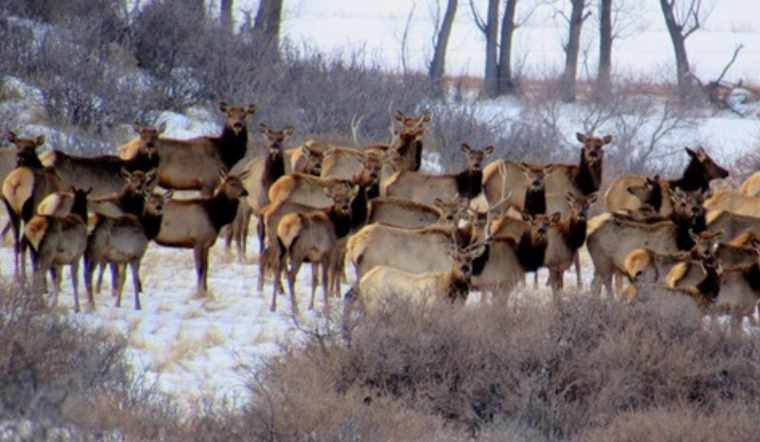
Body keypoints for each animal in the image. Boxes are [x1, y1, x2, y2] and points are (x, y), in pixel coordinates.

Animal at [3, 132, 63, 278]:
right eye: (17, 144)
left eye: (30, 147)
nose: (20, 155)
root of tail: (16, 183)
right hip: (29, 211)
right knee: (25, 244)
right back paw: (26, 275)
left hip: (11, 210)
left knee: (16, 243)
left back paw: (18, 275)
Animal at [272, 184, 359, 315]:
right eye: (335, 199)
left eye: (348, 199)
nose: (345, 208)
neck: (336, 228)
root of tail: (285, 227)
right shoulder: (326, 254)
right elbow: (325, 280)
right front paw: (326, 308)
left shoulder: (314, 258)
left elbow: (314, 281)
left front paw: (311, 306)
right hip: (298, 252)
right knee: (291, 276)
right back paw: (295, 309)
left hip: (282, 249)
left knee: (277, 271)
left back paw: (273, 306)